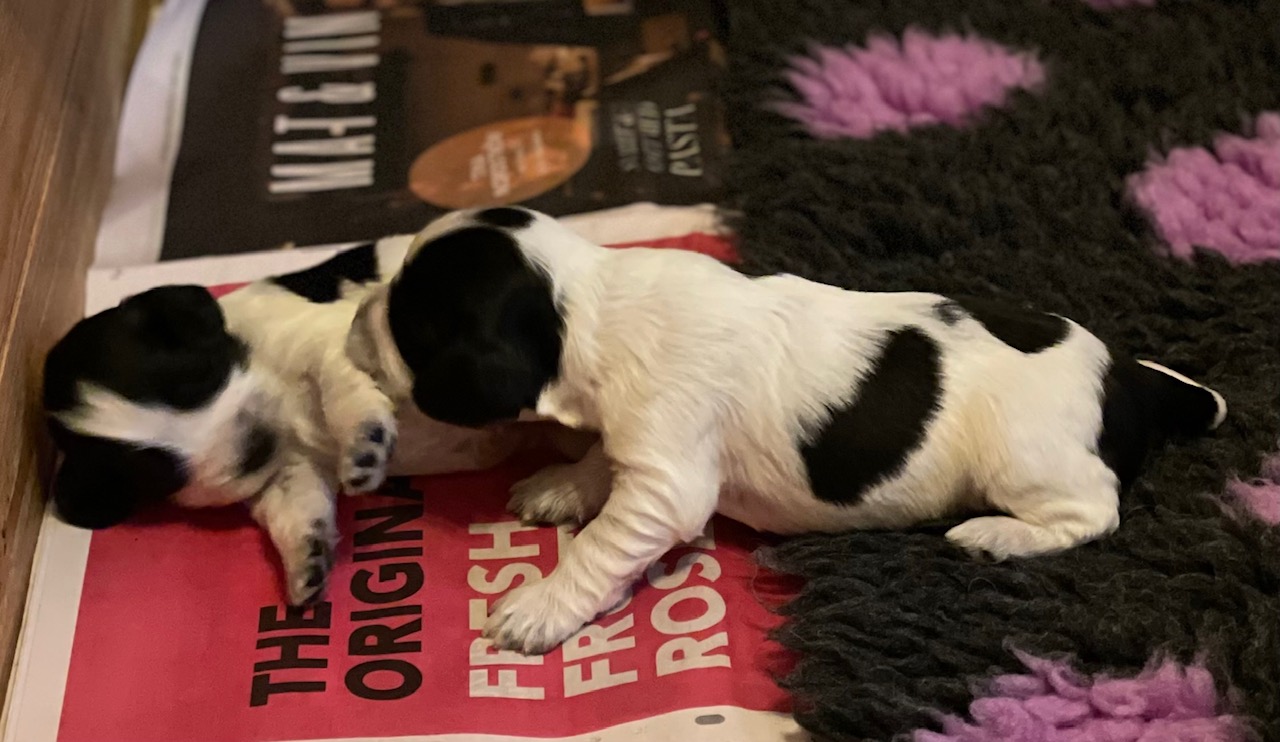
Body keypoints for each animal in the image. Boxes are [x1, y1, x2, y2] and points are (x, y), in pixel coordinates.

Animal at [43, 243, 588, 605]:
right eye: (160, 473)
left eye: (195, 379)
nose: (253, 449)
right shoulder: (286, 475)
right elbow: (298, 510)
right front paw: (306, 564)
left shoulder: (321, 337)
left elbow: (338, 384)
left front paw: (365, 444)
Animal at [346, 206, 1228, 654]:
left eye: (411, 324)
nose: (354, 319)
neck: (589, 302)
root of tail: (1124, 379)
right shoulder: (636, 444)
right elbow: (600, 459)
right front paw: (565, 483)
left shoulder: (666, 484)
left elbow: (599, 549)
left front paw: (537, 608)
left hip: (1031, 462)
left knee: (1093, 513)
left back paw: (993, 537)